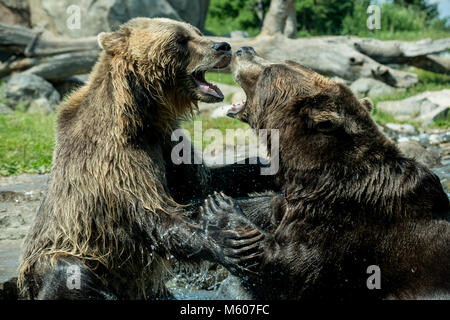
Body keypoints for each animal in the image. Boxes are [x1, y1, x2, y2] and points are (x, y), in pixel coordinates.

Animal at [16, 20, 270, 300]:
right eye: (180, 40)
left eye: (196, 33)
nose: (223, 46)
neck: (143, 113)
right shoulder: (117, 158)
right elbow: (155, 215)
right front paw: (227, 242)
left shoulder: (167, 141)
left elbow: (202, 181)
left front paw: (263, 166)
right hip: (61, 260)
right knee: (69, 272)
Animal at [205, 45, 450, 300]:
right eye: (288, 61)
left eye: (269, 72)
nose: (244, 49)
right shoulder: (304, 202)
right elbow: (274, 209)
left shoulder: (344, 223)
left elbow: (288, 271)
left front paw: (220, 210)